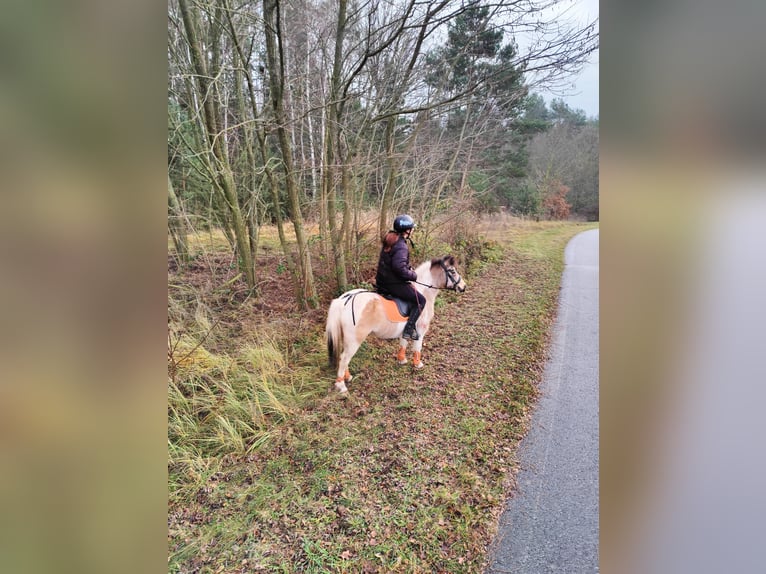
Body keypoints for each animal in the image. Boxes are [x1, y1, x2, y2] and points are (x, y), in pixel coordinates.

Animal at [325, 255, 467, 393]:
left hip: (347, 339)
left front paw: (402, 360)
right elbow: (417, 348)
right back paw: (341, 385)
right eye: (452, 271)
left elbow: (403, 344)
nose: (463, 286)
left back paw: (348, 376)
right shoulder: (421, 331)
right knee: (344, 358)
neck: (423, 290)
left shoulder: (406, 330)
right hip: (355, 340)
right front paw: (417, 364)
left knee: (344, 358)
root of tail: (344, 299)